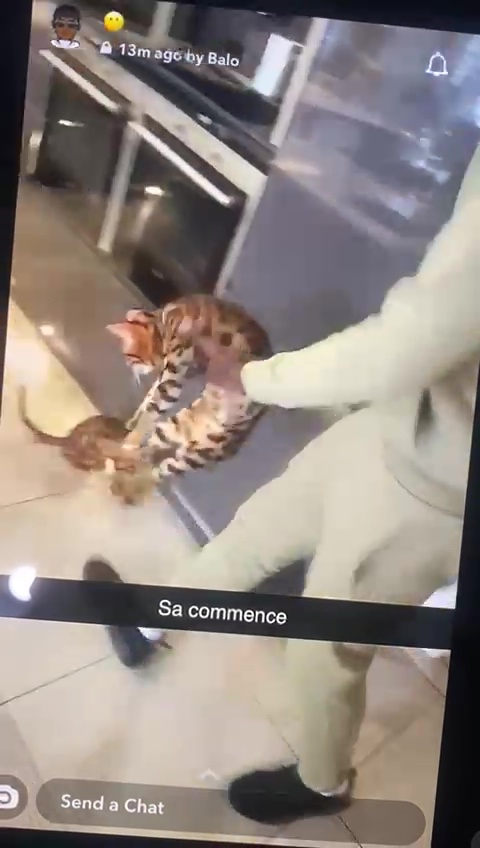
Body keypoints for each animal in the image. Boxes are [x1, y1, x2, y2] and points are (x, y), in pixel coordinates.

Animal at [107, 294, 272, 500]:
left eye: (158, 353)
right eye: (146, 356)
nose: (157, 365)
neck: (165, 320)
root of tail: (190, 440)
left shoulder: (173, 374)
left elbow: (153, 405)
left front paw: (131, 439)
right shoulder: (170, 372)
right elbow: (150, 398)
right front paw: (133, 420)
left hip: (195, 456)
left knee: (157, 472)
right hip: (169, 429)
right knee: (148, 457)